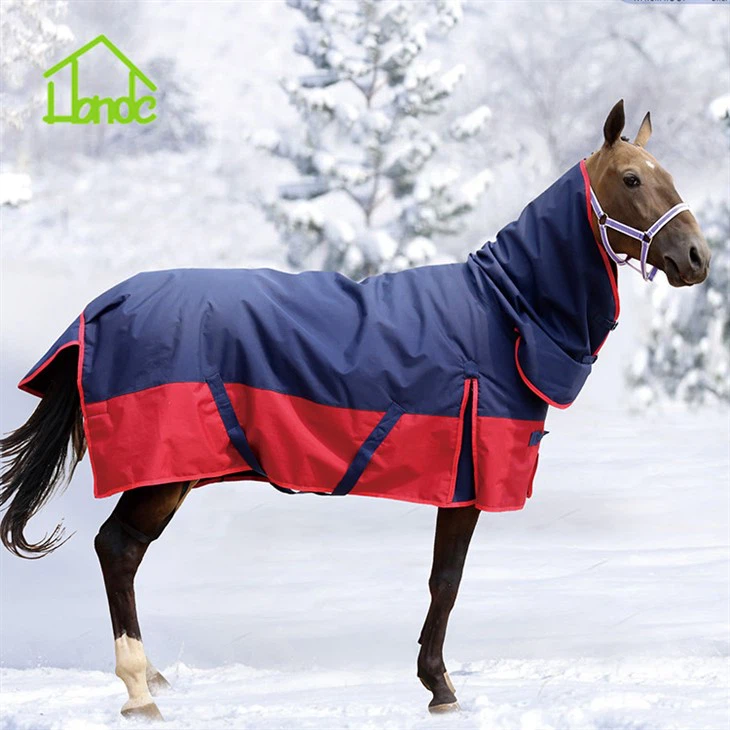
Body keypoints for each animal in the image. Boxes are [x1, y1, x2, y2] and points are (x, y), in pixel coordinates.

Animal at [0, 100, 711, 720]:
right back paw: (137, 691)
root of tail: (103, 307)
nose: (697, 258)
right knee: (117, 549)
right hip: (162, 473)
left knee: (122, 551)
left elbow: (443, 580)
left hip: (171, 476)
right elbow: (447, 581)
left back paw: (150, 679)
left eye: (670, 176)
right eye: (631, 179)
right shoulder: (466, 480)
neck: (504, 313)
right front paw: (440, 687)